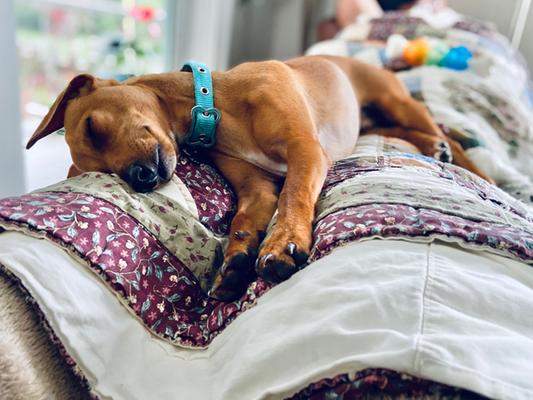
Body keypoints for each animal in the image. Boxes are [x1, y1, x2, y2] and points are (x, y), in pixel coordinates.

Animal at [26, 55, 493, 301]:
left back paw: (469, 166)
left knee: (448, 135)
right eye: (102, 172)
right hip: (377, 119)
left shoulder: (306, 152)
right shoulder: (255, 188)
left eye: (92, 127)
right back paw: (433, 148)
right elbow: (244, 218)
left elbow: (294, 197)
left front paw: (282, 244)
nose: (139, 177)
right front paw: (235, 260)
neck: (213, 107)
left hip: (395, 101)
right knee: (407, 131)